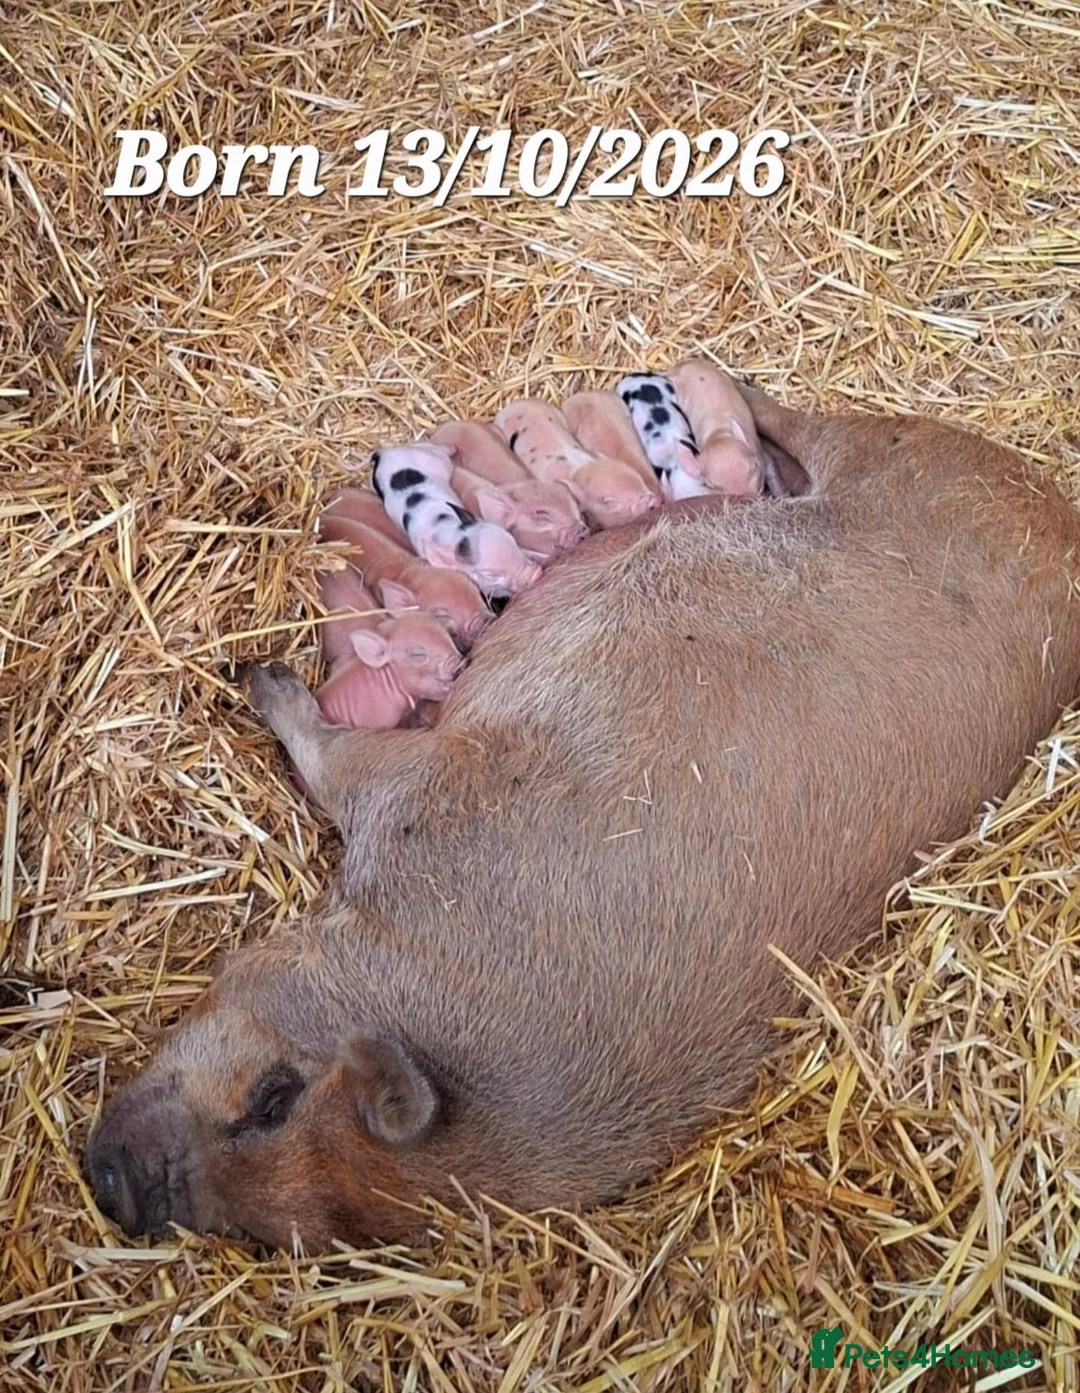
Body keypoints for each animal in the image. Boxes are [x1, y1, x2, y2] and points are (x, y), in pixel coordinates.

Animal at [371, 443, 542, 599]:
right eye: (489, 575)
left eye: (513, 542)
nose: (536, 573)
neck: (453, 532)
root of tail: (386, 453)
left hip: (431, 458)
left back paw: (452, 448)